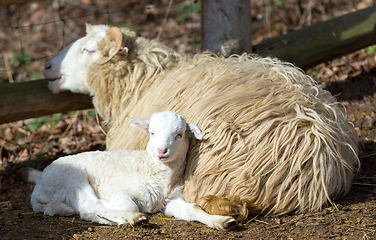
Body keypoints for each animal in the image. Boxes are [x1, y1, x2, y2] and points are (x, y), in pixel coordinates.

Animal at [30, 111, 235, 230]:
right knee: (89, 207)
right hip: (71, 179)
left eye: (179, 134)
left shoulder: (170, 200)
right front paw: (126, 212)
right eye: (152, 132)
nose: (162, 151)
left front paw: (220, 221)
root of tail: (37, 192)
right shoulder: (113, 189)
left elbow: (192, 208)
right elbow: (129, 205)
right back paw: (131, 218)